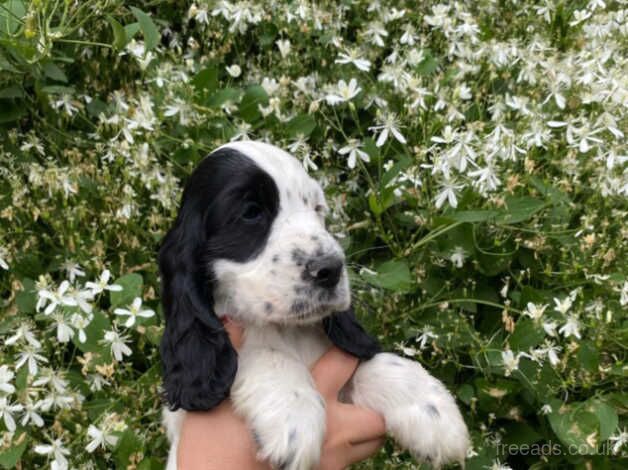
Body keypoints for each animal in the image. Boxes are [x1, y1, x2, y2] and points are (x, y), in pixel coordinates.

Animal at [159, 142, 468, 470]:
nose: (330, 269)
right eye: (251, 212)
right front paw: (293, 413)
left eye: (318, 210)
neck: (290, 332)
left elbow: (369, 363)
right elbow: (262, 352)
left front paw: (431, 409)